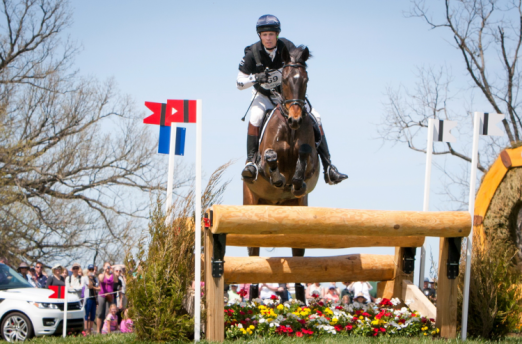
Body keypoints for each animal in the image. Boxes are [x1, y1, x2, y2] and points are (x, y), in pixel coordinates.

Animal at [243, 45, 318, 300]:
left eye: (305, 79)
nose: (296, 118)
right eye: (284, 79)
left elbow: (305, 157)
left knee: (298, 252)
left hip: (298, 209)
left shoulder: (311, 164)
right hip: (252, 204)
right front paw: (279, 179)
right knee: (253, 251)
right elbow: (270, 158)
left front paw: (295, 181)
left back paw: (300, 298)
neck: (290, 129)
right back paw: (253, 296)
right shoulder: (266, 161)